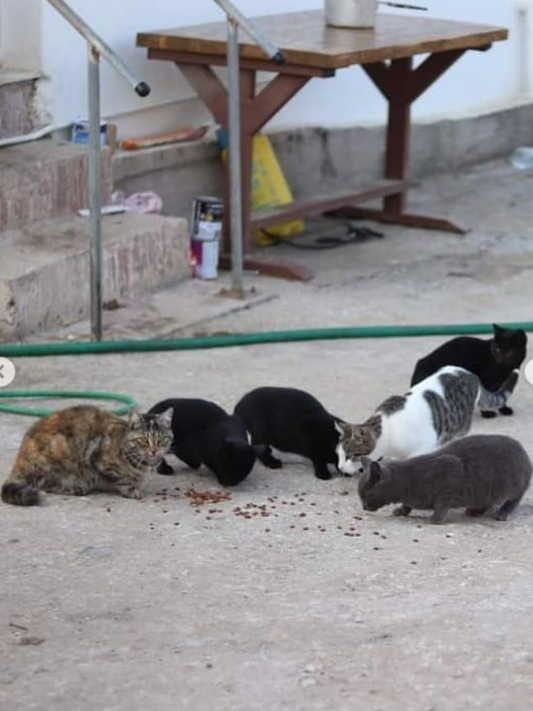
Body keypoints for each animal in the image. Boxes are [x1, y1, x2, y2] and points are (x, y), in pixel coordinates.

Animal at [1, 406, 171, 506]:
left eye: (162, 440)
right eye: (144, 440)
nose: (154, 451)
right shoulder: (98, 459)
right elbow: (121, 479)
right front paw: (131, 490)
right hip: (57, 452)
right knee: (46, 484)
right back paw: (73, 488)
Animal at [336, 364, 516, 476]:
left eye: (350, 456)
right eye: (339, 455)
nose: (340, 467)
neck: (389, 430)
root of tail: (471, 375)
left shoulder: (425, 444)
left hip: (460, 427)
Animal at [356, 432, 528, 524]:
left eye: (367, 495)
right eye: (360, 496)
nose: (363, 507)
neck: (408, 481)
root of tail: (523, 451)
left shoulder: (450, 476)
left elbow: (441, 503)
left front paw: (436, 519)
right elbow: (408, 504)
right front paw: (402, 510)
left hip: (513, 486)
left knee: (513, 500)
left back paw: (502, 513)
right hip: (487, 491)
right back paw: (474, 510)